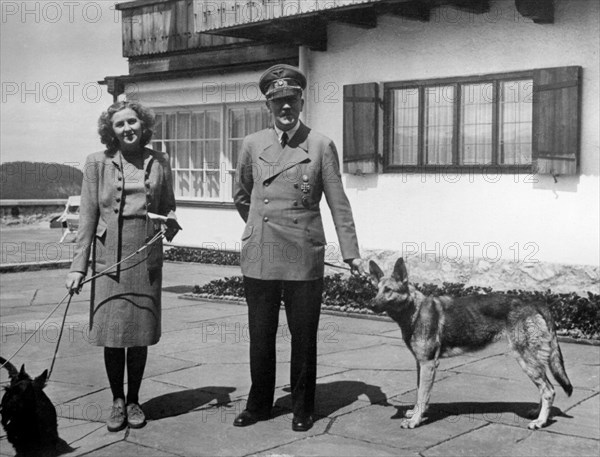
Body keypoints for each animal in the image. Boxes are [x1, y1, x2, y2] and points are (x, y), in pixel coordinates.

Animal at [370, 258, 572, 430]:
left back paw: (540, 422)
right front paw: (416, 413)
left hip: (526, 360)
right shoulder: (421, 364)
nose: (370, 304)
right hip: (533, 362)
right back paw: (537, 413)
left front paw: (415, 421)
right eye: (376, 289)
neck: (415, 310)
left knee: (549, 390)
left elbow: (422, 395)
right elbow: (421, 392)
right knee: (545, 388)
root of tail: (535, 302)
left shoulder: (428, 364)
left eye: (388, 290)